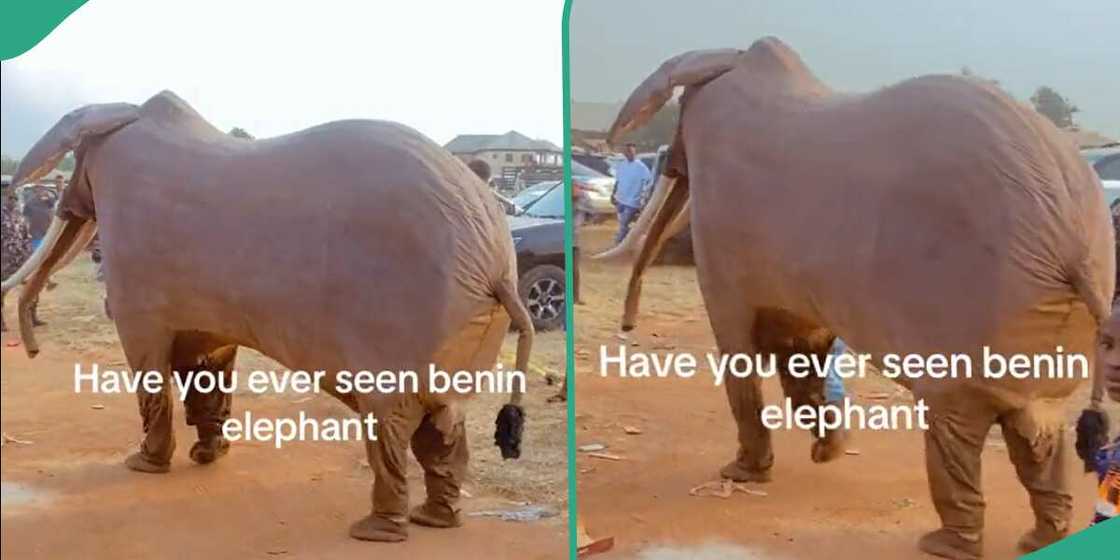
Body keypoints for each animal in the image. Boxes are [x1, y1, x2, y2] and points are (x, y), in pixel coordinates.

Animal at [3, 90, 534, 543]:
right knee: (443, 423)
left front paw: (143, 466)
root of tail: (497, 265)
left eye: (76, 166)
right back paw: (435, 519)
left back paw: (375, 531)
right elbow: (206, 364)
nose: (32, 350)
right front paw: (207, 456)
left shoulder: (136, 270)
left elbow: (151, 365)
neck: (124, 114)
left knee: (390, 421)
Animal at [597, 37, 1114, 559]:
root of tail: (1070, 240)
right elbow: (800, 350)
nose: (626, 327)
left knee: (954, 422)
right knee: (1038, 429)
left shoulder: (723, 229)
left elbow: (742, 351)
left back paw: (943, 545)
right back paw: (1040, 537)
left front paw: (742, 474)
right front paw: (826, 453)